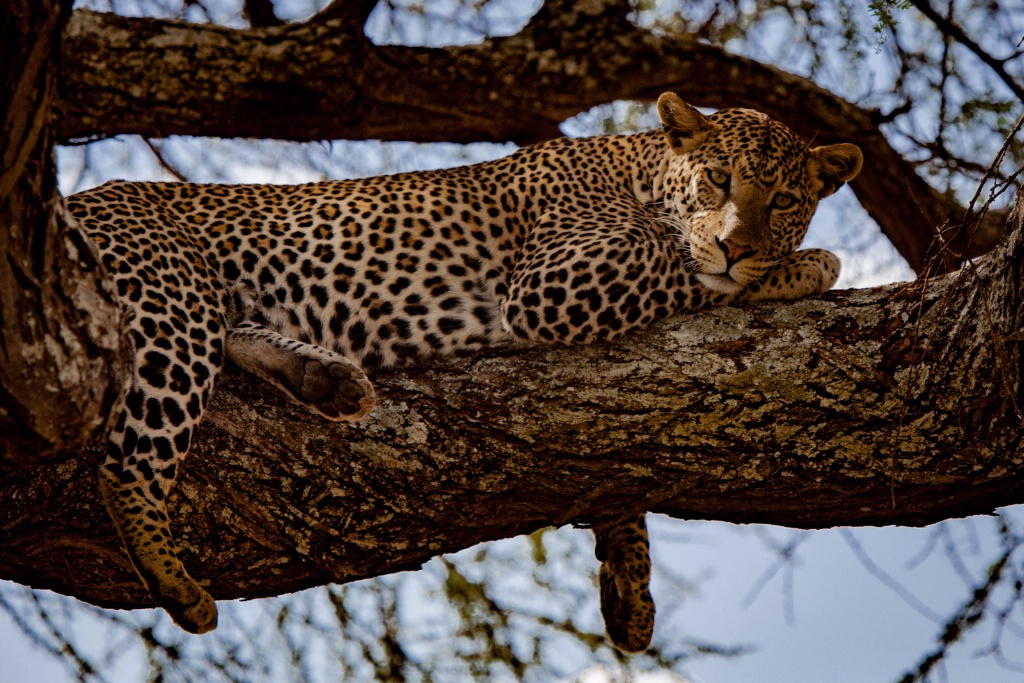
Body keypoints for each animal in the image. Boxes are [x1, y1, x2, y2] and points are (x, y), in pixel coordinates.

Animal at [68, 93, 860, 655]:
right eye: (717, 181)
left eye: (783, 201)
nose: (739, 244)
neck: (641, 169)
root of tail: (75, 200)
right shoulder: (557, 282)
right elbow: (689, 265)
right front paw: (804, 265)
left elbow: (617, 475)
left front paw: (630, 588)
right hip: (170, 296)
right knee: (127, 462)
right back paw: (175, 581)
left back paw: (330, 379)